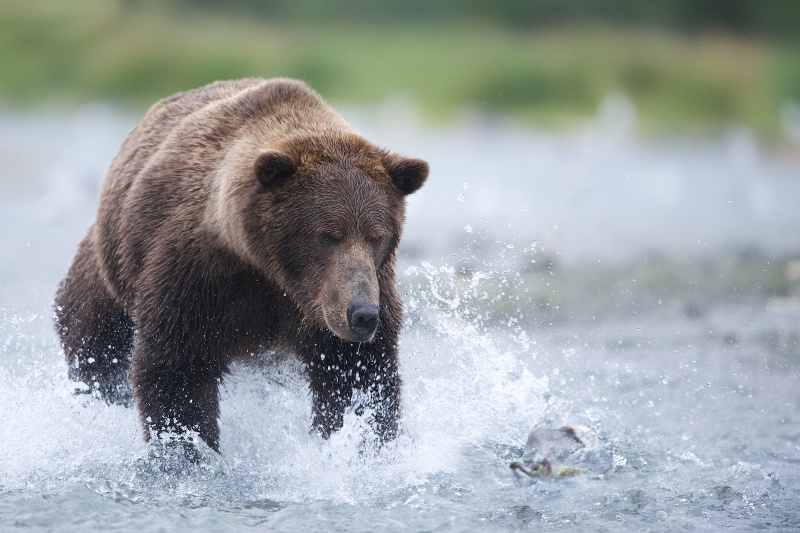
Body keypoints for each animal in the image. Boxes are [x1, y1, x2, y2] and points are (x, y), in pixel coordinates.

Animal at [53, 78, 428, 454]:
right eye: (327, 235)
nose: (362, 314)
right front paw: (188, 448)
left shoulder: (349, 296)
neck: (268, 268)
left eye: (376, 236)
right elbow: (177, 368)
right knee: (94, 346)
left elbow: (356, 374)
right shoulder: (197, 275)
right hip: (106, 277)